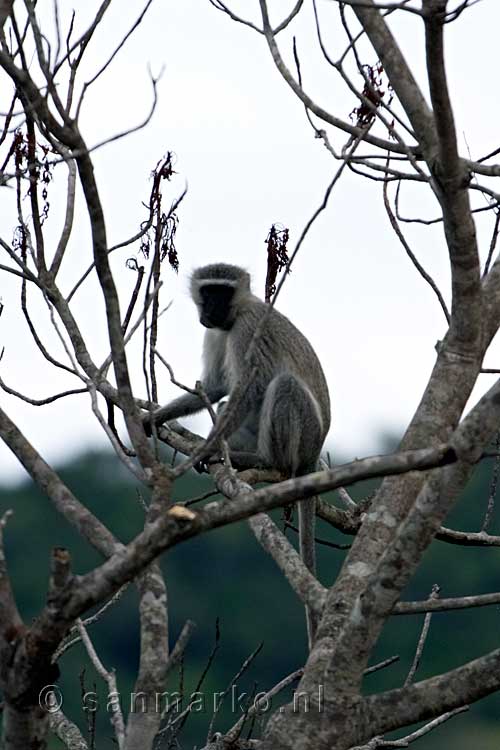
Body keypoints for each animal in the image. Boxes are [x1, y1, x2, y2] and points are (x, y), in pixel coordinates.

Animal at [146, 264, 330, 648]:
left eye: (223, 292)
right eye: (208, 291)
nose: (211, 310)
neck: (231, 320)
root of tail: (314, 454)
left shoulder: (248, 330)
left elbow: (250, 387)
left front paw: (207, 448)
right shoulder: (216, 334)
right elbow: (216, 387)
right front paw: (156, 418)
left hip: (305, 434)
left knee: (283, 386)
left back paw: (262, 462)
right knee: (228, 404)